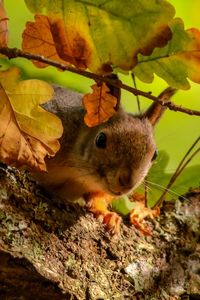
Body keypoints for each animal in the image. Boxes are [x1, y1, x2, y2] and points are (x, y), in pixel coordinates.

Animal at [34, 82, 175, 234]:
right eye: (100, 139)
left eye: (155, 154)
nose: (126, 182)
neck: (77, 172)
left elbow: (97, 197)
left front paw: (105, 213)